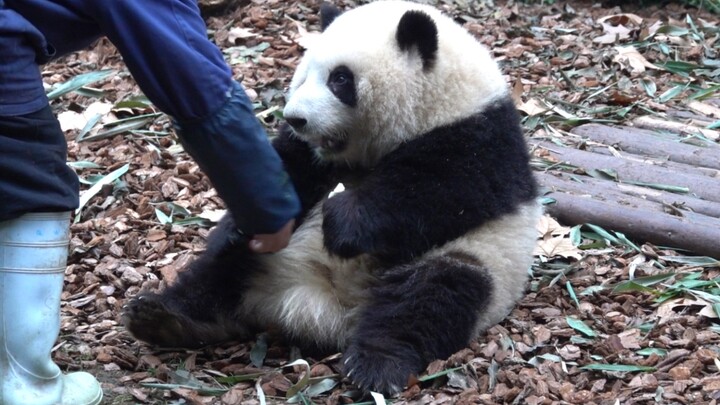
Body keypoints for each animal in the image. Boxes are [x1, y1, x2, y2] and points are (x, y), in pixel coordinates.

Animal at [124, 0, 540, 394]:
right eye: (303, 74)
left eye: (340, 79)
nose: (296, 118)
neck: (438, 101)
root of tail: (316, 309)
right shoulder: (313, 155)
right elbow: (288, 173)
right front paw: (243, 224)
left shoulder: (482, 136)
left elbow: (443, 191)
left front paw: (342, 222)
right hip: (268, 257)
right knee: (219, 272)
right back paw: (163, 318)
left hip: (479, 259)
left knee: (432, 296)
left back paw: (376, 364)